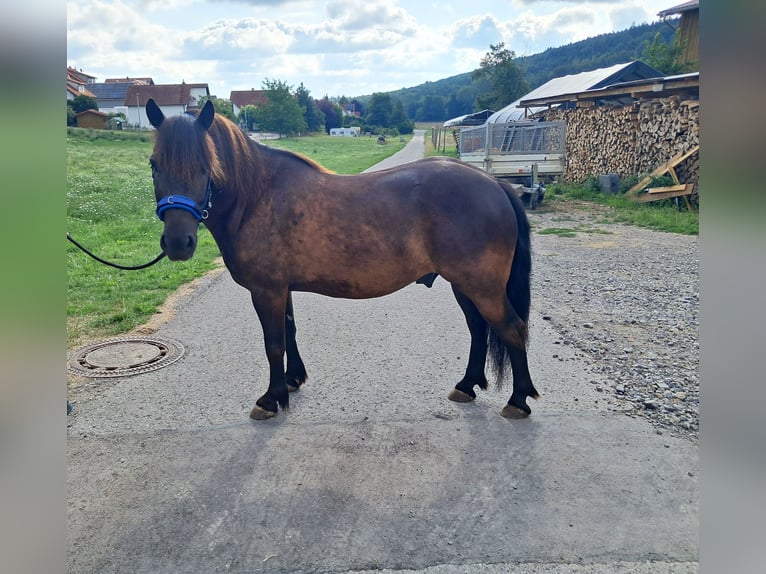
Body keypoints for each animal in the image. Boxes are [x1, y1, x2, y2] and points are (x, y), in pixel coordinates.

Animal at [145, 98, 539, 420]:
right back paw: (467, 385)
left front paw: (271, 399)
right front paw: (292, 380)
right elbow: (289, 332)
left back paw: (518, 401)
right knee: (479, 330)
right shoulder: (281, 288)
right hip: (464, 284)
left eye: (206, 165)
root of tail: (493, 184)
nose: (178, 243)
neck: (258, 196)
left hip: (482, 286)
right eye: (154, 165)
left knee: (512, 328)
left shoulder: (266, 290)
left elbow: (273, 343)